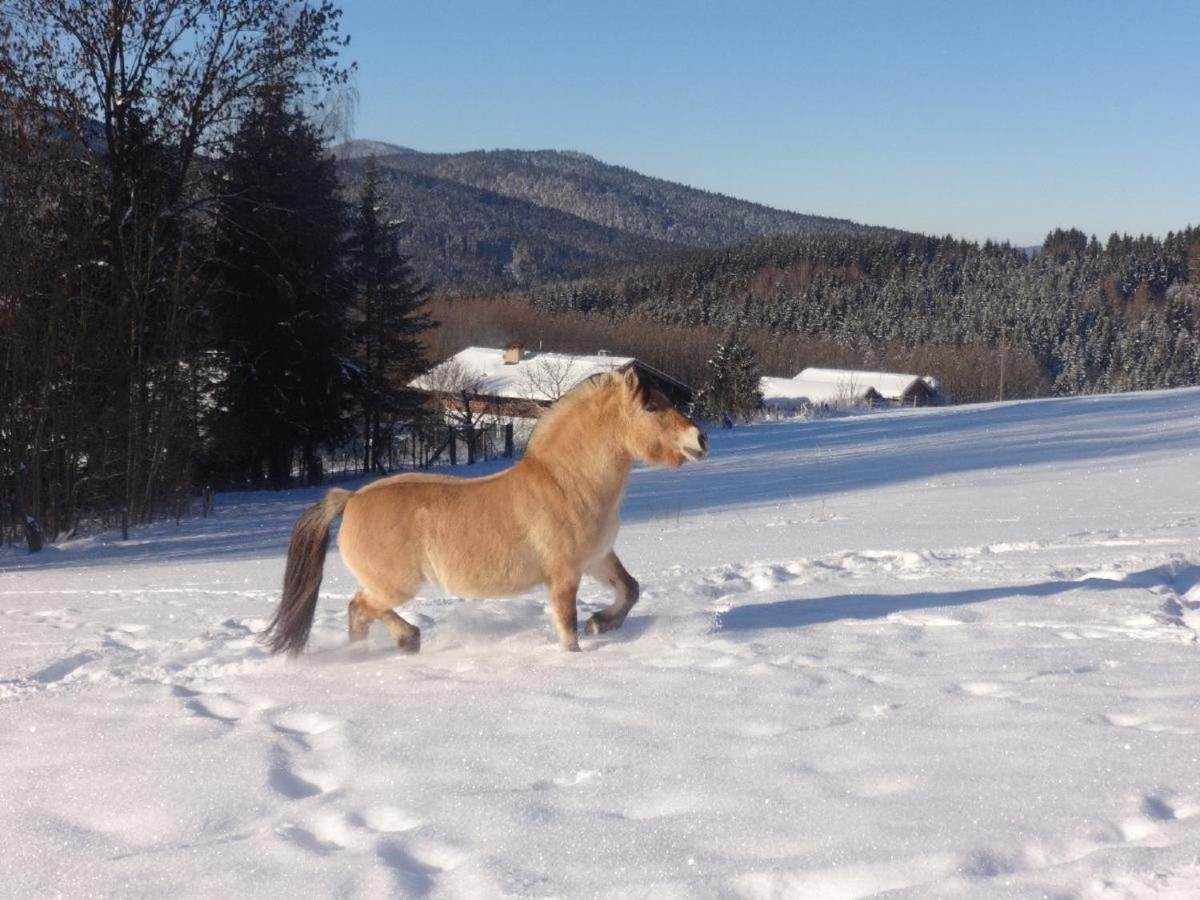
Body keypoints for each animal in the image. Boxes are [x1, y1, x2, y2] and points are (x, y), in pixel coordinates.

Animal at [262, 367, 705, 657]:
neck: (566, 483)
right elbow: (568, 630)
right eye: (650, 407)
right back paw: (400, 642)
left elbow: (630, 590)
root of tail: (350, 498)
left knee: (362, 614)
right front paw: (580, 647)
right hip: (393, 585)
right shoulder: (564, 574)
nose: (699, 439)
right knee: (360, 608)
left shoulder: (597, 558)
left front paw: (601, 622)